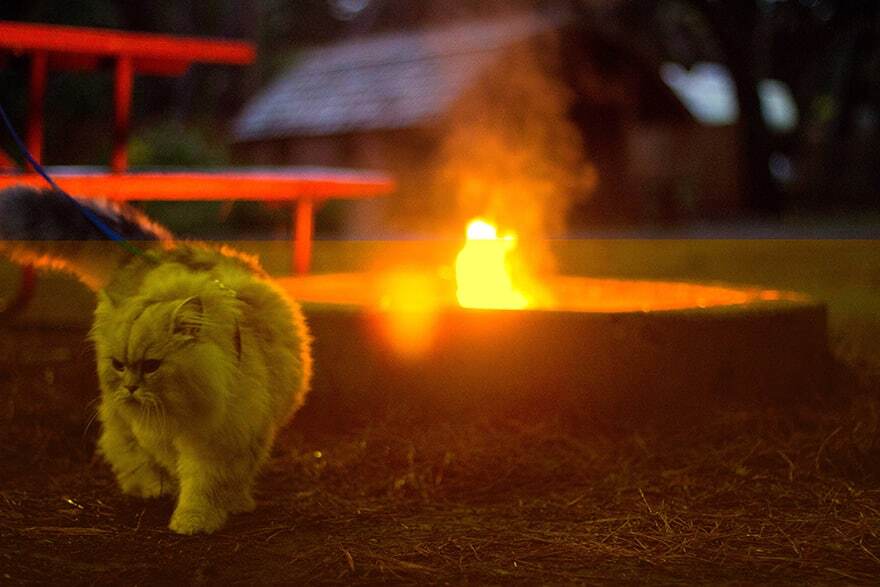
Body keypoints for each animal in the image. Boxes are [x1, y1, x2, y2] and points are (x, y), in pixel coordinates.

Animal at [0, 186, 312, 536]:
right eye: (119, 364)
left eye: (152, 366)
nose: (131, 387)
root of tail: (156, 252)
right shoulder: (164, 432)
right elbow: (175, 472)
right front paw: (184, 510)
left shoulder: (229, 438)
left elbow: (212, 483)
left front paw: (206, 515)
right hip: (117, 410)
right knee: (121, 446)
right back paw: (149, 487)